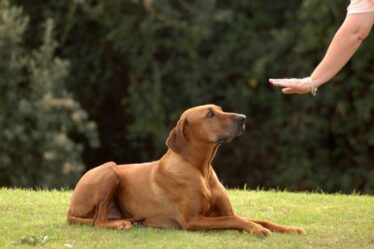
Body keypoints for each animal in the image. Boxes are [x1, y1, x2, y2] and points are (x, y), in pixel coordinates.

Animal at [68, 104, 306, 235]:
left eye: (220, 110)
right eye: (210, 114)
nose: (243, 118)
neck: (201, 169)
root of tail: (70, 209)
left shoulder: (224, 211)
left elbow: (257, 219)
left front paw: (291, 229)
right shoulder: (193, 220)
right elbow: (236, 220)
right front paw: (258, 230)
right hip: (110, 170)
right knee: (97, 221)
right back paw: (120, 225)